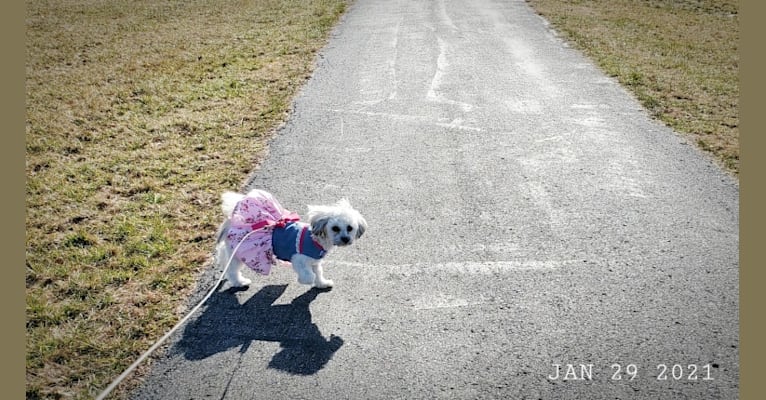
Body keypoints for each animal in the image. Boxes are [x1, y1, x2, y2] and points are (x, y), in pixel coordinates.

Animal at [216, 189, 366, 290]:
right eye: (335, 228)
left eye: (350, 228)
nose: (345, 238)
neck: (317, 240)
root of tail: (232, 222)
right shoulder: (299, 259)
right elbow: (309, 275)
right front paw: (303, 280)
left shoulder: (315, 262)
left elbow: (318, 273)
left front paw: (322, 283)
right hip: (238, 253)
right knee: (232, 270)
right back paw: (239, 282)